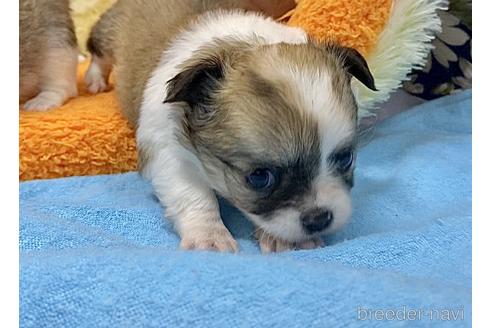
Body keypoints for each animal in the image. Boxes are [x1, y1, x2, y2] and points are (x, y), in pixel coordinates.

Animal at [85, 0, 376, 254]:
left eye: (346, 158)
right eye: (259, 177)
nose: (319, 219)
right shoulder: (167, 154)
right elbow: (194, 195)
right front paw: (208, 237)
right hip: (109, 31)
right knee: (98, 52)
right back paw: (94, 80)